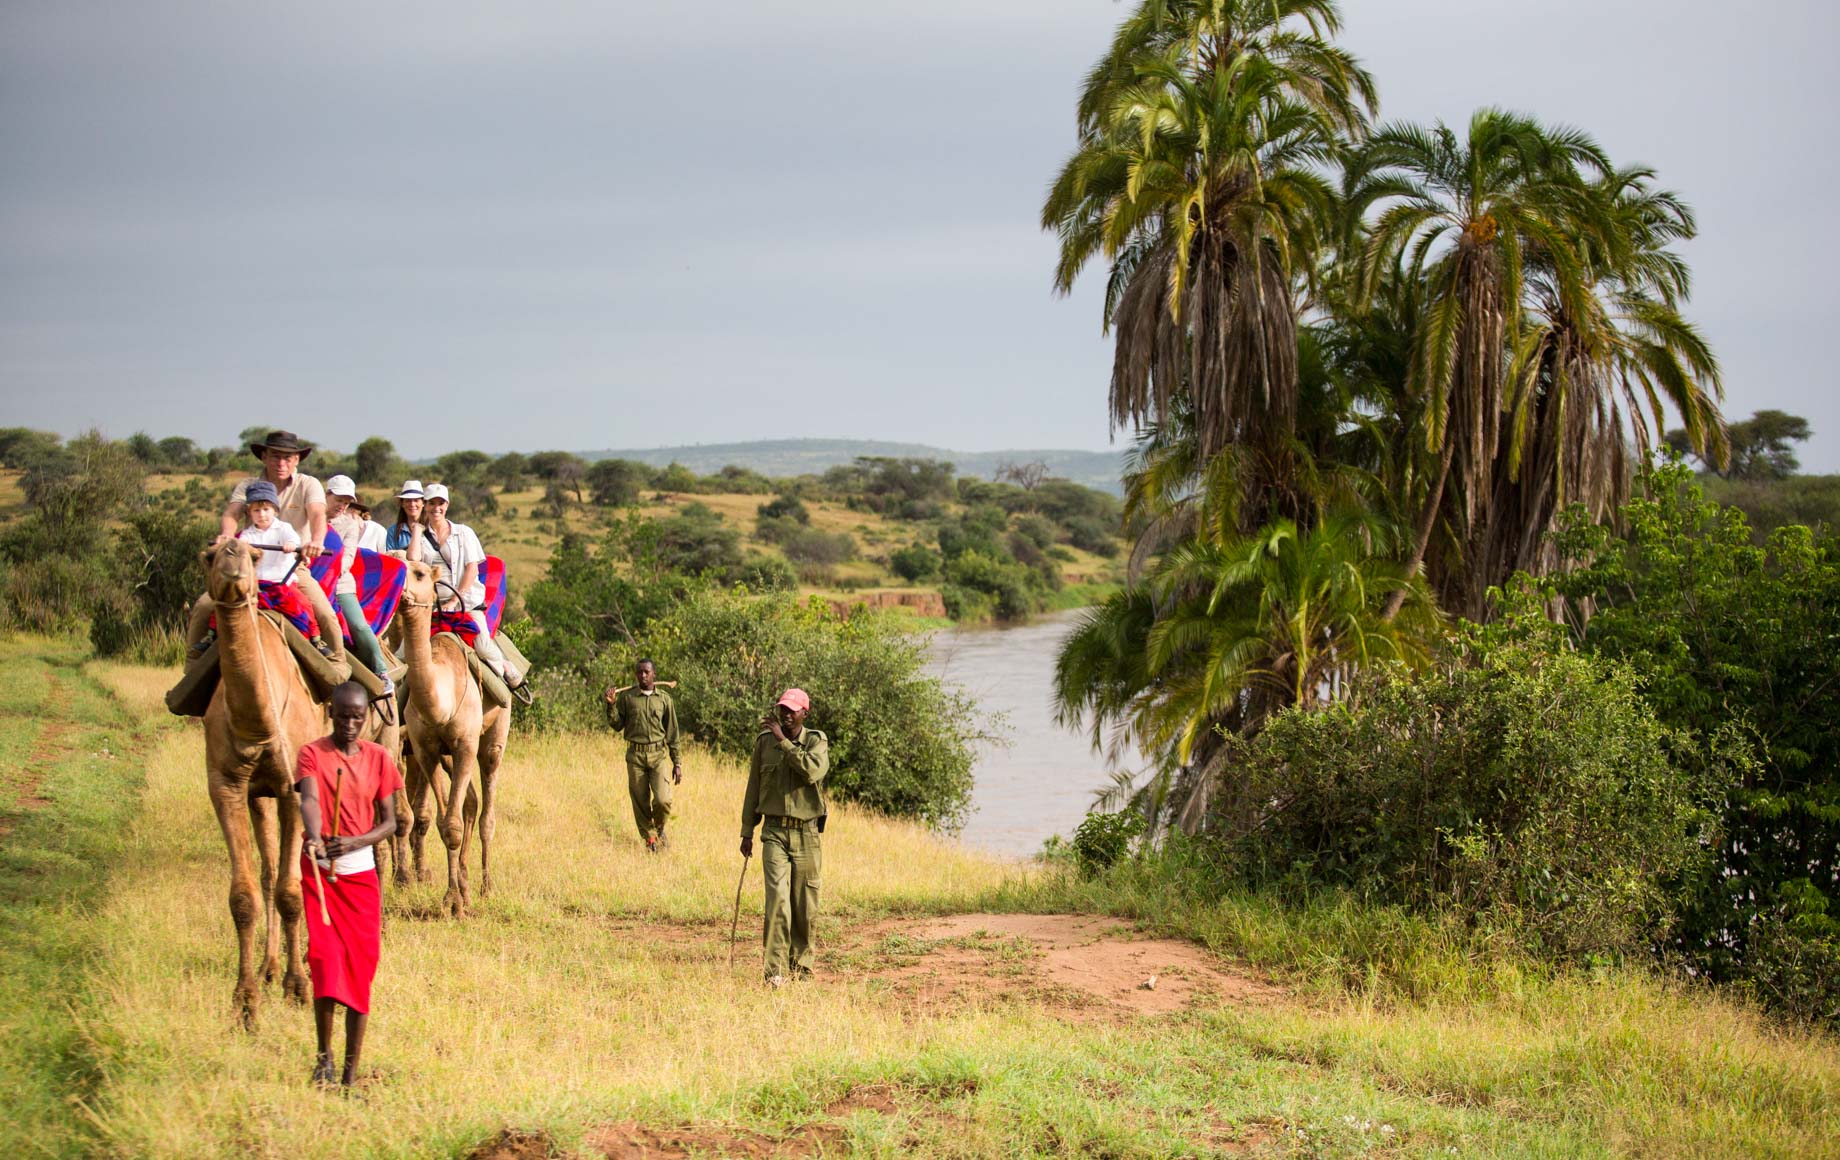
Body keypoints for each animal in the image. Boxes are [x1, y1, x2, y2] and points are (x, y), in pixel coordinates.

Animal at [395, 559, 511, 924]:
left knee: (487, 810)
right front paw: (453, 898)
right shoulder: (426, 751)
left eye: (418, 573)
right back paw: (466, 884)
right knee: (469, 804)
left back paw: (486, 886)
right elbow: (445, 823)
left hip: (494, 738)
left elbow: (453, 823)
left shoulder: (464, 746)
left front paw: (456, 903)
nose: (400, 590)